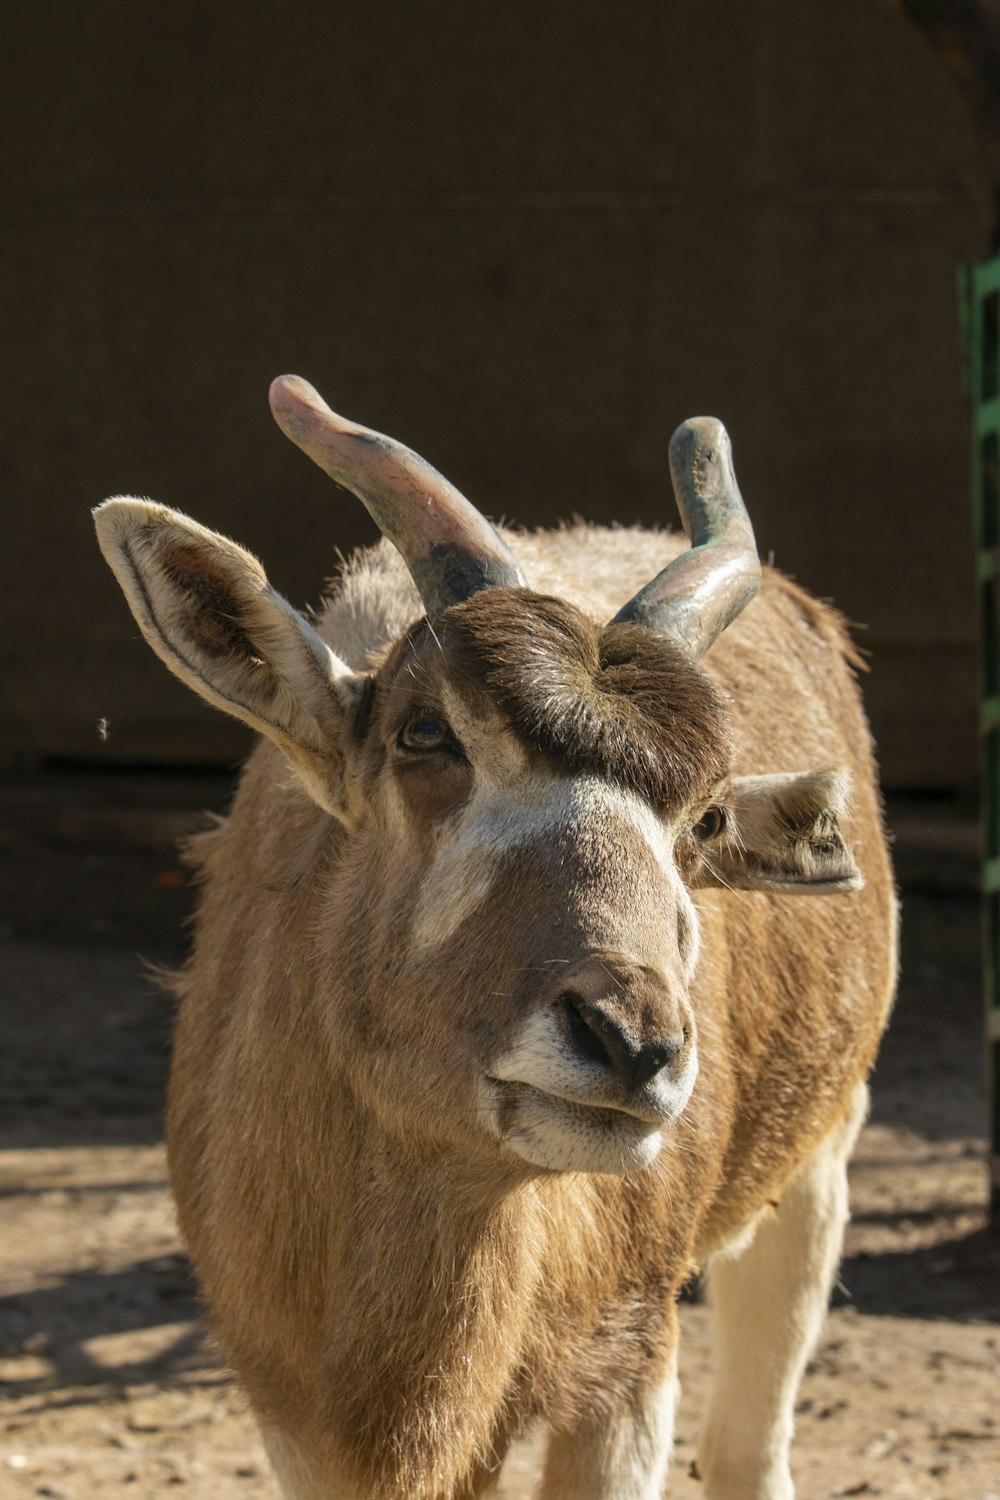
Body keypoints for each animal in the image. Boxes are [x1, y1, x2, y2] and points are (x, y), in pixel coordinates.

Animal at [97, 375, 899, 1500]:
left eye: (704, 818)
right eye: (424, 731)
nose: (632, 1046)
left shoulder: (625, 1371)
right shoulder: (296, 1417)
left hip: (815, 1169)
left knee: (749, 1448)